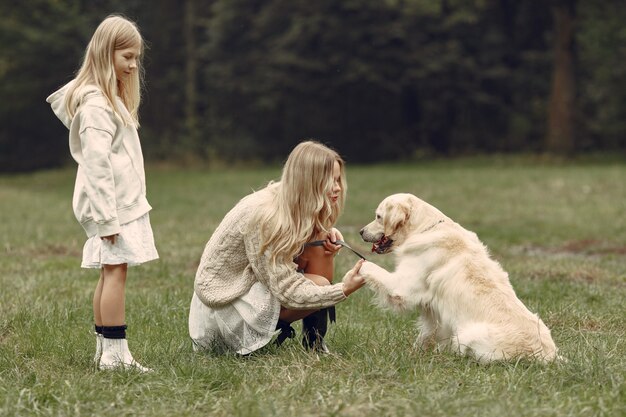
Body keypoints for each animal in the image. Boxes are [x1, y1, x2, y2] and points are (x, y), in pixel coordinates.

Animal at [358, 193, 560, 362]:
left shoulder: (401, 287)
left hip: (466, 335)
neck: (425, 229)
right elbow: (425, 335)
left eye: (378, 216)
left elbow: (370, 267)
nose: (360, 231)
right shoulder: (434, 314)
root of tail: (548, 357)